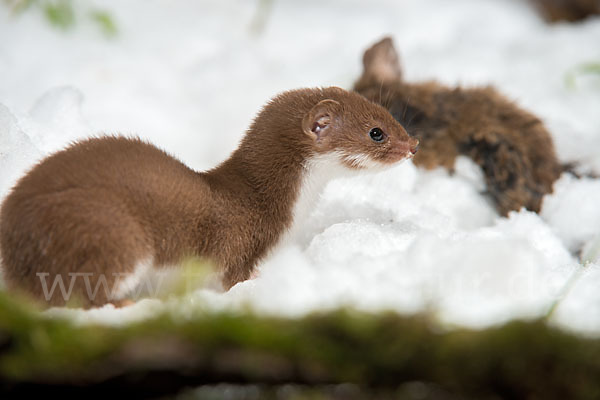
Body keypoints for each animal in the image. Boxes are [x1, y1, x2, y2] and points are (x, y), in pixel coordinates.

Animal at [0, 86, 418, 306]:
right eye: (376, 132)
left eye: (387, 112)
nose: (413, 145)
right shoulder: (236, 246)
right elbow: (232, 279)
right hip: (111, 229)